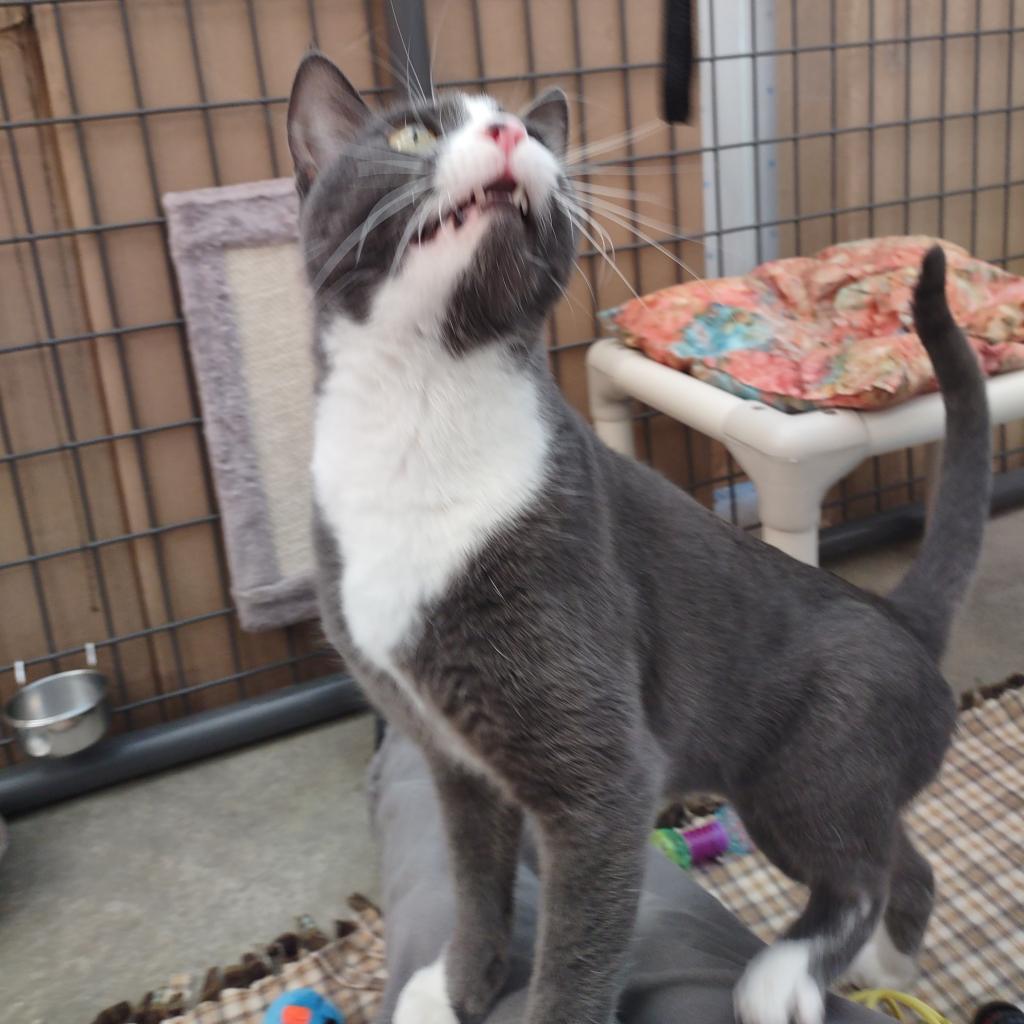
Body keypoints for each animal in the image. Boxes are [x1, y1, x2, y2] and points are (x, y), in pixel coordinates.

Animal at [286, 51, 991, 1024]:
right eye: (414, 132)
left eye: (539, 137)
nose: (510, 132)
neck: (423, 416)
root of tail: (895, 615)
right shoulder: (452, 760)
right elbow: (475, 885)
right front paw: (455, 989)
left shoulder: (605, 777)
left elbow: (576, 955)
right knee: (901, 857)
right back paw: (888, 969)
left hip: (809, 767)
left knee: (862, 869)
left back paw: (785, 977)